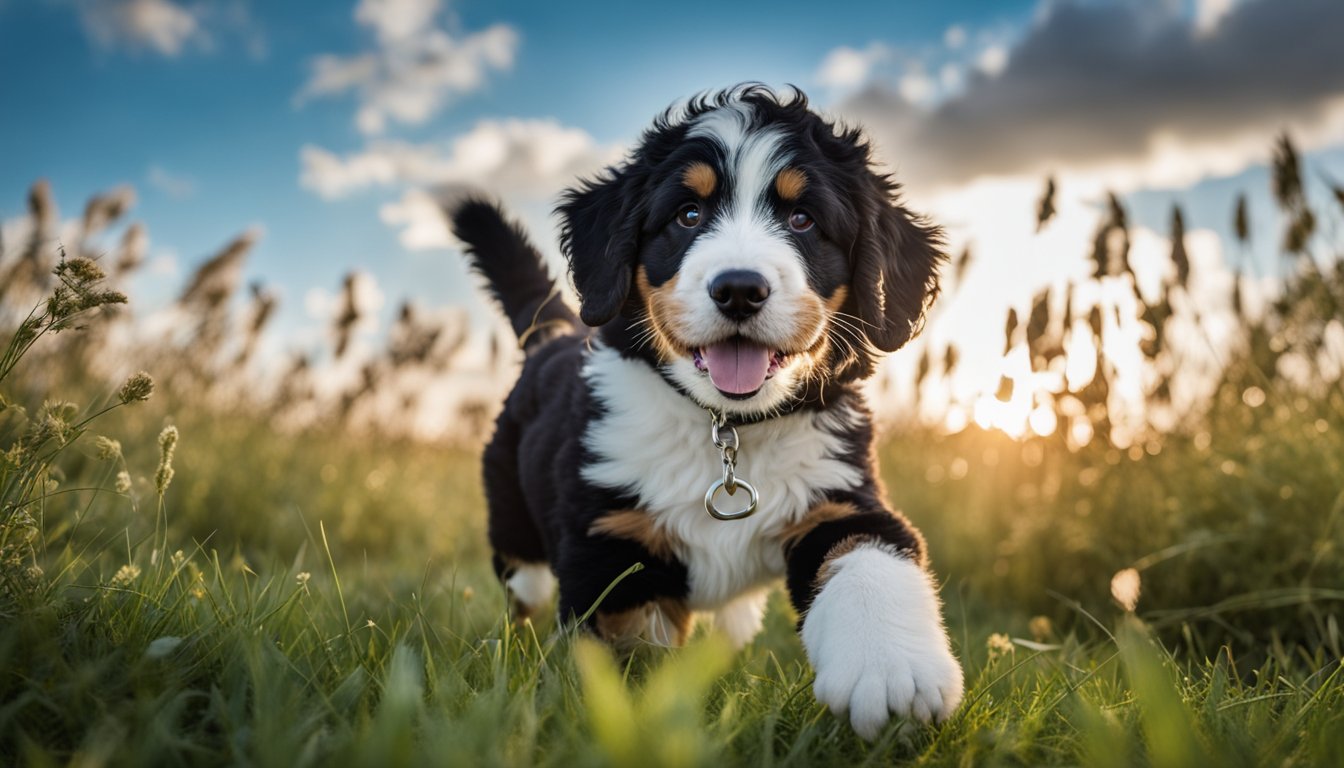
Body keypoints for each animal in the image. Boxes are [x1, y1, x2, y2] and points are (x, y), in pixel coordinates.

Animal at [451, 82, 967, 737]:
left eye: (803, 219)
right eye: (688, 215)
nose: (739, 289)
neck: (727, 429)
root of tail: (553, 335)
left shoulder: (840, 499)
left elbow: (869, 559)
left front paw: (893, 672)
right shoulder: (613, 551)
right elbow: (634, 656)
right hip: (514, 521)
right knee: (526, 586)